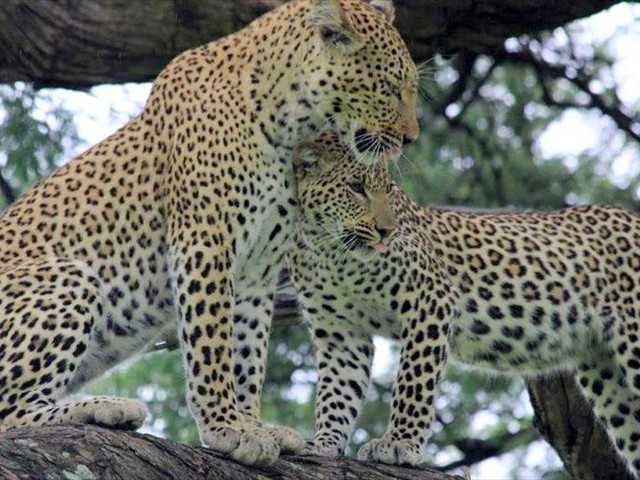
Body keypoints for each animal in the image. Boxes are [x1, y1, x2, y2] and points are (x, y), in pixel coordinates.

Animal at [0, 0, 420, 464]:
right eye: (390, 87)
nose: (410, 137)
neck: (288, 122)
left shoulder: (256, 269)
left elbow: (247, 353)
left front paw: (253, 425)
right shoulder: (204, 239)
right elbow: (211, 341)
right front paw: (225, 428)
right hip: (69, 276)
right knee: (10, 413)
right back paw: (107, 406)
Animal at [288, 132, 640, 476]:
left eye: (388, 190)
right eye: (356, 187)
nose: (386, 232)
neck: (332, 253)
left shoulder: (430, 299)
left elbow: (414, 381)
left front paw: (400, 444)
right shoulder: (340, 333)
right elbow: (337, 393)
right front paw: (324, 444)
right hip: (607, 374)